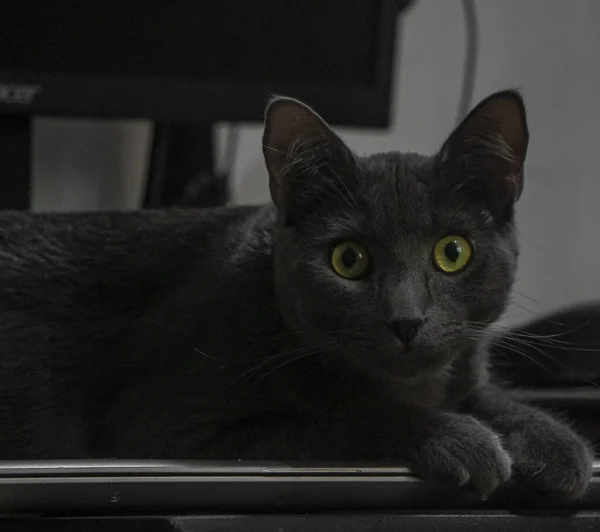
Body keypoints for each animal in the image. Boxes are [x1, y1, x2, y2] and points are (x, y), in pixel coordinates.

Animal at [0, 91, 592, 502]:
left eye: (453, 252)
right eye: (348, 259)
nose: (406, 320)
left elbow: (488, 395)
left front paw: (556, 444)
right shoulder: (168, 428)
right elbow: (338, 419)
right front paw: (460, 440)